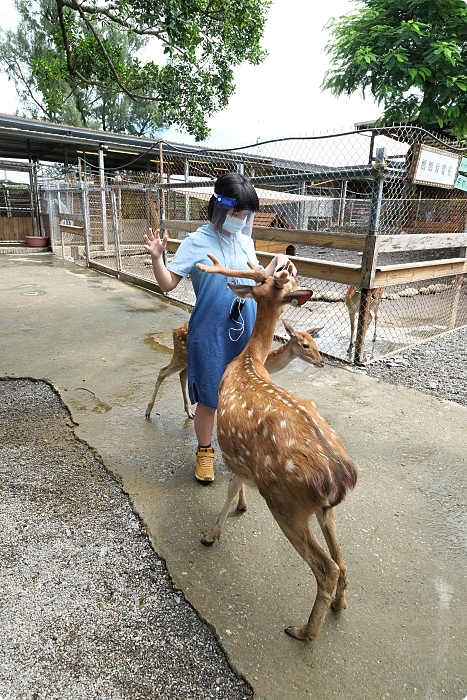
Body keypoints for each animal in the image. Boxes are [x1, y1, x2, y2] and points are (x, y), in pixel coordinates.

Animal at [146, 320, 326, 418]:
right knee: (163, 371)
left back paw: (189, 412)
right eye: (305, 345)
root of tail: (174, 331)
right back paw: (148, 411)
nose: (321, 362)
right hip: (180, 355)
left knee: (182, 375)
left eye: (316, 343)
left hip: (187, 361)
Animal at [197, 256, 358, 640]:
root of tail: (340, 478)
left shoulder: (234, 454)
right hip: (325, 509)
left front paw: (212, 534)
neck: (248, 361)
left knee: (326, 567)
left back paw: (303, 631)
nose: (301, 283)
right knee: (342, 561)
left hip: (286, 503)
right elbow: (234, 487)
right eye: (284, 283)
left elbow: (230, 489)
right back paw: (339, 605)